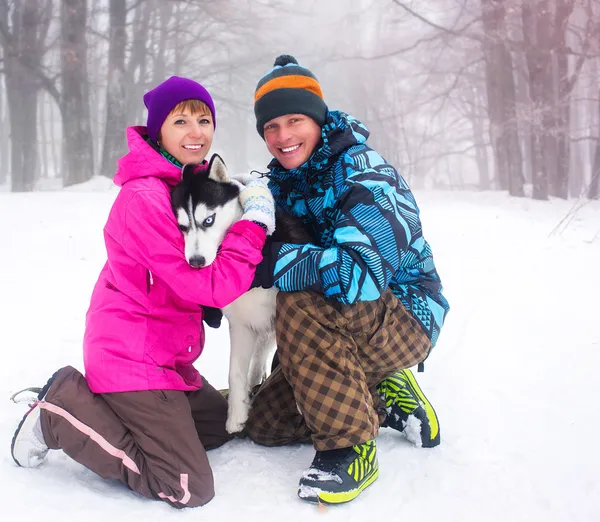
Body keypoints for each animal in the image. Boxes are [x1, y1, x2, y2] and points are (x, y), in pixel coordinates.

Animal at [170, 153, 308, 430]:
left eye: (209, 220)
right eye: (182, 227)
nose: (196, 261)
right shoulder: (242, 324)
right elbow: (234, 372)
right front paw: (236, 414)